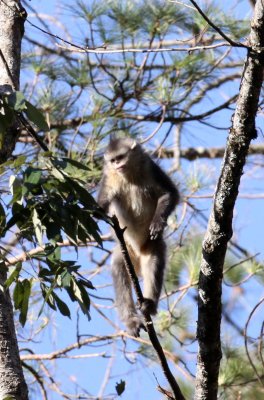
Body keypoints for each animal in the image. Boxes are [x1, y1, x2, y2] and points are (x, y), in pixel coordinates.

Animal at [97, 136, 179, 336]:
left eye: (120, 157)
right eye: (113, 160)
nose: (118, 165)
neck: (129, 176)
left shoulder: (150, 167)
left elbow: (170, 193)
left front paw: (157, 223)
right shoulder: (109, 177)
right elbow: (100, 207)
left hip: (152, 247)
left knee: (154, 262)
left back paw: (149, 305)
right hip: (125, 252)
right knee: (118, 268)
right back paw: (131, 320)